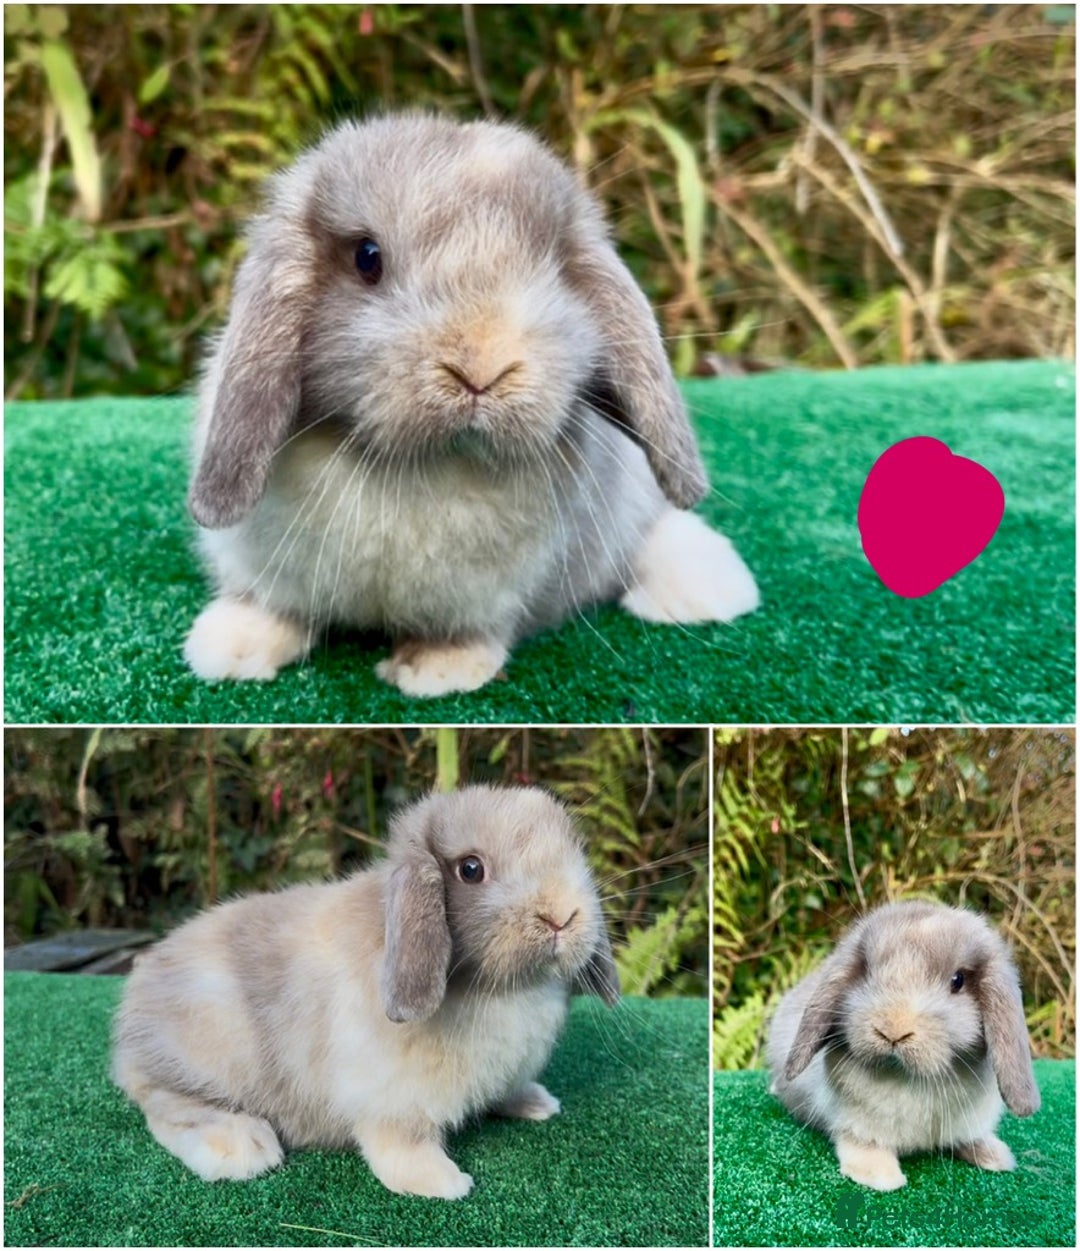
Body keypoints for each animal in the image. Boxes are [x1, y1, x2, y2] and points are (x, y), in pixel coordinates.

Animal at [111, 785, 619, 1199]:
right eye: (471, 869)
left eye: (574, 852)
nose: (561, 915)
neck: (505, 990)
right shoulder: (391, 1100)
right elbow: (401, 1142)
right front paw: (441, 1182)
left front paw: (536, 1103)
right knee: (163, 1103)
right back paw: (242, 1147)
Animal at [182, 112, 759, 696]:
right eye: (368, 258)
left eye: (555, 268)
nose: (481, 368)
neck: (419, 469)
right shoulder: (260, 564)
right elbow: (273, 607)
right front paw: (228, 649)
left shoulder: (485, 596)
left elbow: (465, 632)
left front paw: (436, 672)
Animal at [766, 900, 1040, 1191]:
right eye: (867, 970)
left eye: (958, 981)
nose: (892, 1031)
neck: (906, 1078)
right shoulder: (855, 1125)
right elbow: (862, 1143)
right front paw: (879, 1176)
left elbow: (969, 1138)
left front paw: (996, 1156)